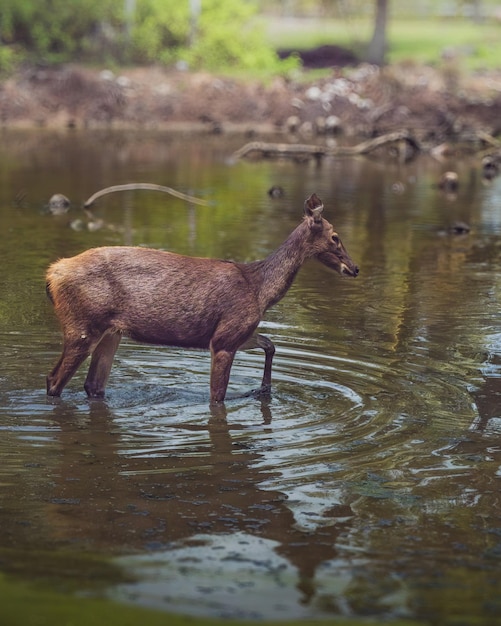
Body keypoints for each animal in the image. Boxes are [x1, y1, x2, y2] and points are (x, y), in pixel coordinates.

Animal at [45, 193, 358, 402]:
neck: (260, 289)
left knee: (92, 386)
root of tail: (52, 273)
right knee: (53, 380)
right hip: (82, 326)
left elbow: (270, 344)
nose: (355, 268)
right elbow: (217, 397)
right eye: (335, 237)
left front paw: (263, 388)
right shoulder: (224, 339)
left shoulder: (234, 333)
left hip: (111, 332)